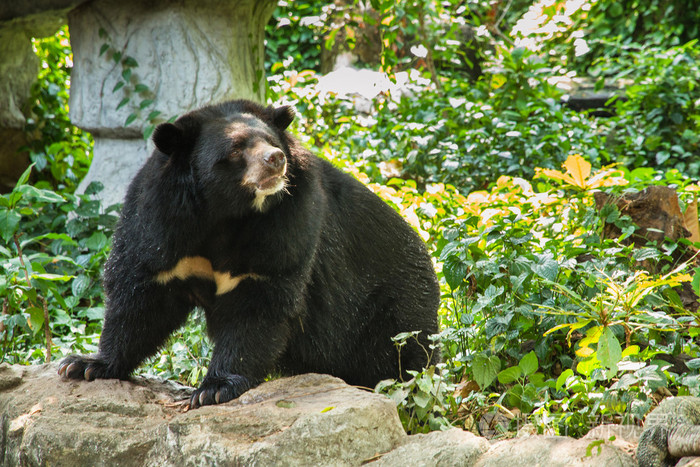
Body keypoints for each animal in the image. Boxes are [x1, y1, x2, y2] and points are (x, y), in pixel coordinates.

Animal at [58, 99, 440, 408]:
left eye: (270, 141)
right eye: (236, 148)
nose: (276, 160)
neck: (225, 212)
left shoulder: (287, 225)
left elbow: (259, 301)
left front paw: (212, 389)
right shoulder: (159, 223)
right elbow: (141, 294)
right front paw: (85, 364)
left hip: (391, 312)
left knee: (402, 361)